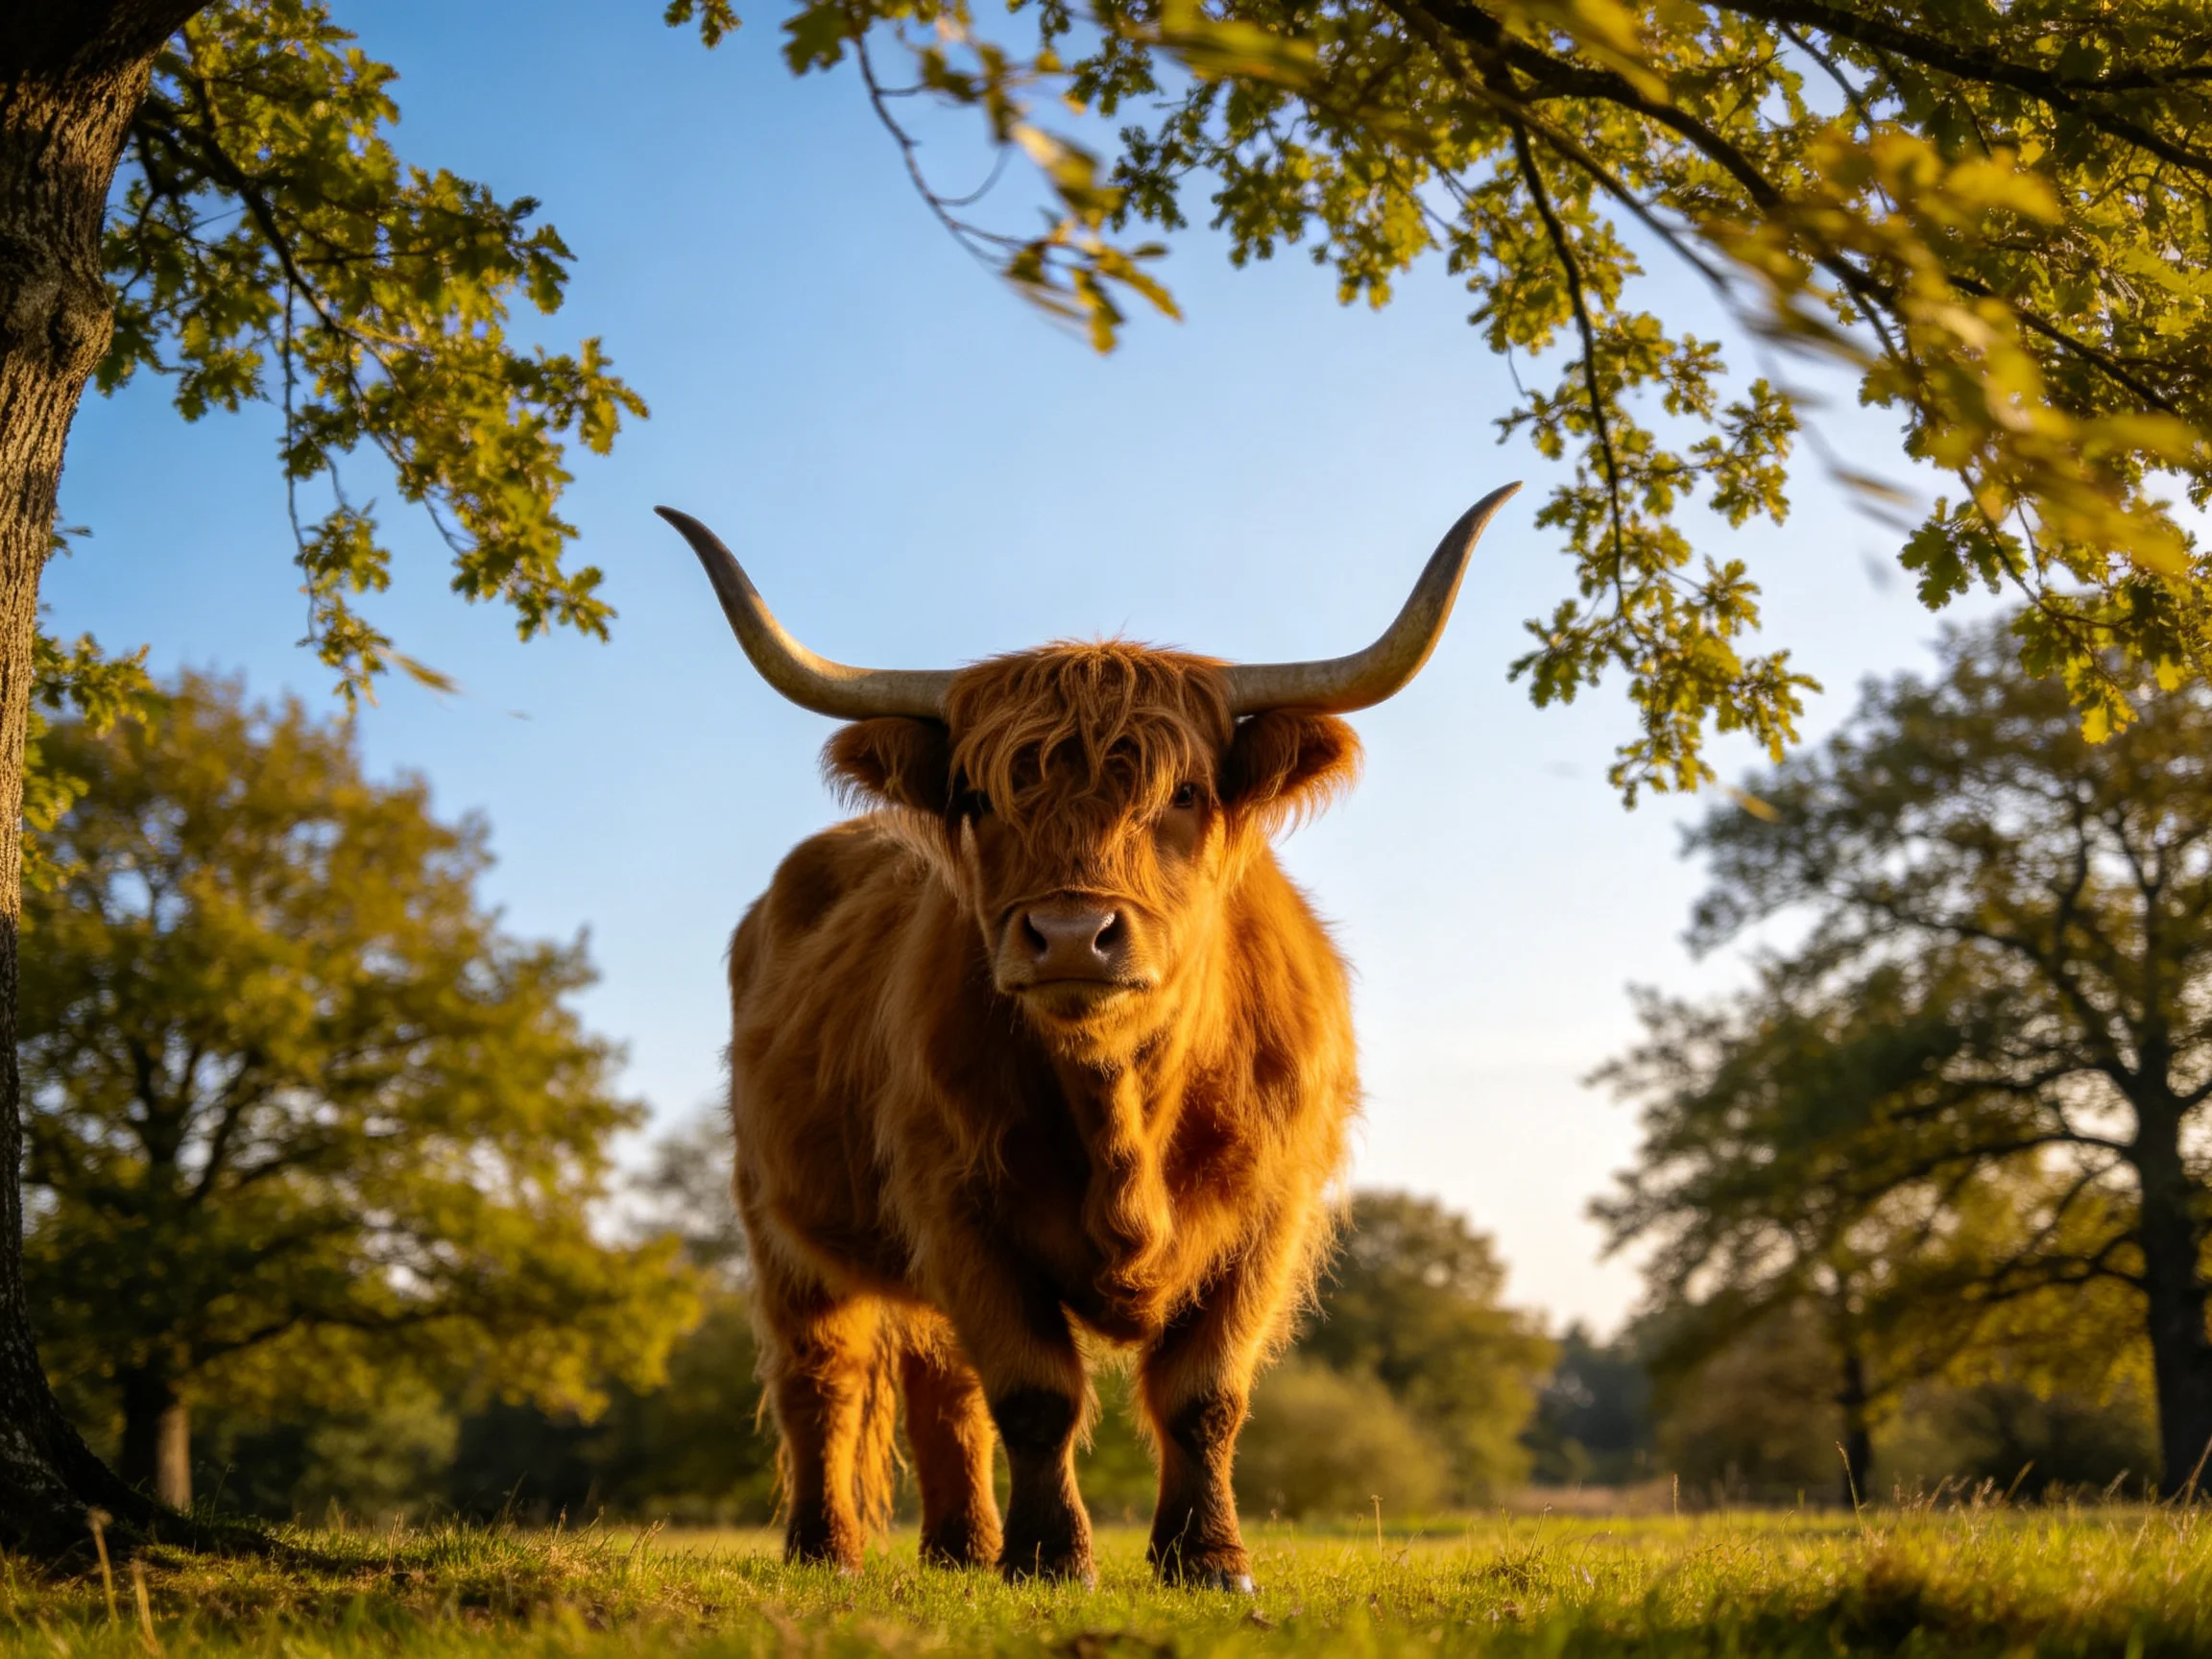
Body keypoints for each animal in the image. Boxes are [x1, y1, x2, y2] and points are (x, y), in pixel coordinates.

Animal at [656, 486, 1518, 1589]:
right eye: (982, 796)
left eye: (1184, 793)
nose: (1071, 934)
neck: (1124, 1109)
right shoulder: (957, 1203)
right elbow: (1035, 1392)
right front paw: (1050, 1558)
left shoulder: (1269, 1213)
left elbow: (1204, 1394)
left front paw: (1208, 1559)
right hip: (778, 1221)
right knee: (824, 1375)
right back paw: (829, 1550)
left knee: (941, 1384)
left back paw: (959, 1550)